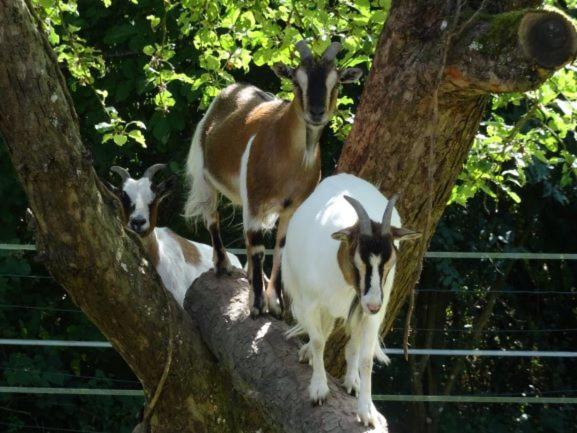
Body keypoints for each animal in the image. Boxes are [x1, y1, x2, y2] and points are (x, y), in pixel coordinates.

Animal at [184, 39, 362, 318]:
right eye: (297, 82)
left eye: (335, 83)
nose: (316, 112)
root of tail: (232, 90)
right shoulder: (256, 200)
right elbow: (258, 248)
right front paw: (257, 304)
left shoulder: (293, 207)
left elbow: (281, 247)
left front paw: (276, 302)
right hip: (204, 173)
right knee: (212, 216)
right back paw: (223, 264)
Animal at [282, 172, 420, 426]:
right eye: (357, 259)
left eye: (390, 260)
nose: (373, 304)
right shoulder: (312, 304)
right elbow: (319, 341)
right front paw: (318, 390)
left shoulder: (368, 314)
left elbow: (365, 358)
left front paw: (367, 411)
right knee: (323, 333)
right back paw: (308, 353)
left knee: (351, 345)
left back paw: (352, 381)